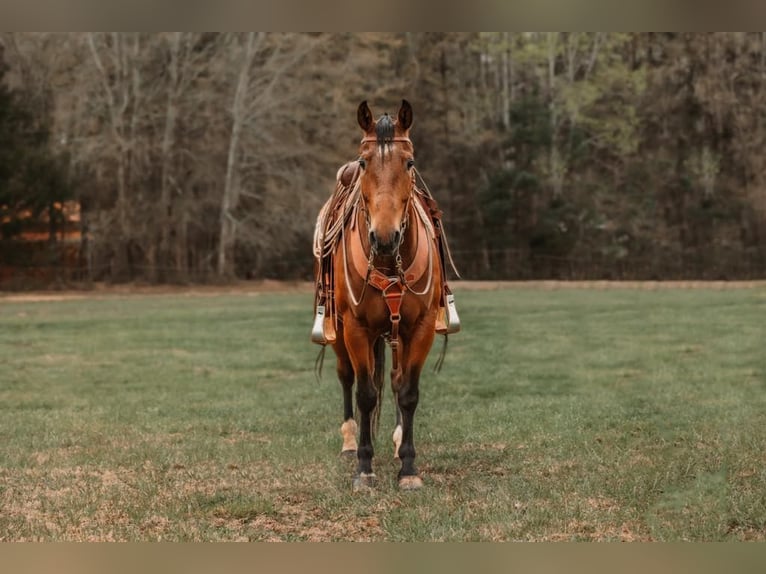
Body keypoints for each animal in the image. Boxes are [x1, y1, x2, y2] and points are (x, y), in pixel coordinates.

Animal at [320, 101, 448, 492]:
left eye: (409, 162)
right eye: (364, 163)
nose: (385, 237)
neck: (389, 262)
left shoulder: (419, 329)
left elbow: (407, 392)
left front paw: (408, 466)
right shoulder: (357, 329)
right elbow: (365, 394)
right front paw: (364, 467)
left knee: (392, 379)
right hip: (339, 331)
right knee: (346, 377)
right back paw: (349, 441)